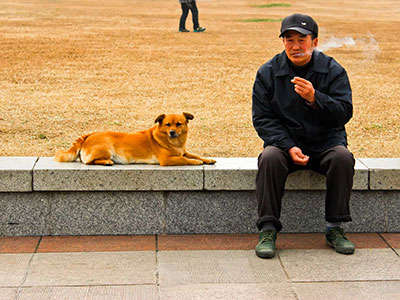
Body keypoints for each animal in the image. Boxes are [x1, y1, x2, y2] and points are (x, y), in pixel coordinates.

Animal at [54, 113, 216, 166]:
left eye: (179, 124)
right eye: (168, 124)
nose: (172, 132)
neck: (174, 143)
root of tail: (89, 135)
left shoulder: (184, 151)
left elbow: (194, 155)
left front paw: (207, 159)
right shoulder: (166, 160)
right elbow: (185, 159)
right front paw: (196, 162)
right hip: (105, 148)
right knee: (88, 162)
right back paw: (106, 162)